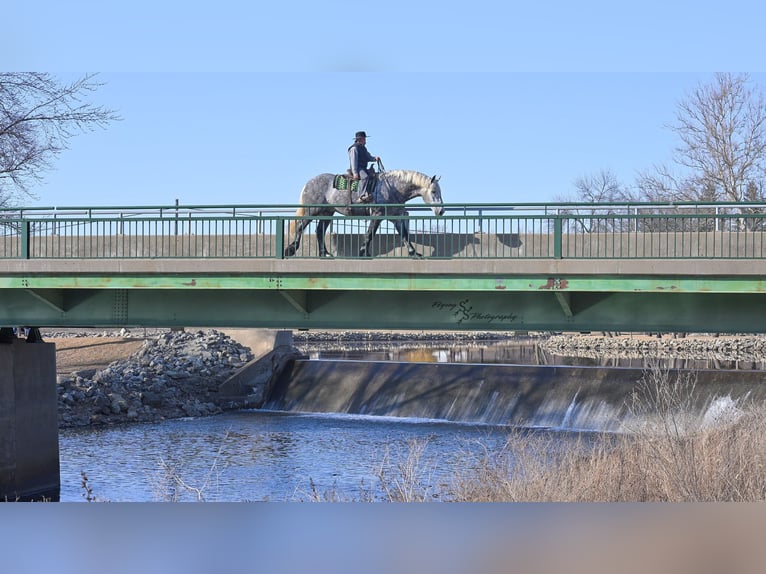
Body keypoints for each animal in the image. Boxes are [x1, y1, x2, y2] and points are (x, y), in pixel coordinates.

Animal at [283, 169, 445, 258]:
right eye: (433, 191)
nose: (441, 211)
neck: (392, 188)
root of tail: (308, 183)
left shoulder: (396, 218)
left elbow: (405, 235)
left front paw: (414, 253)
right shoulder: (378, 215)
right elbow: (369, 234)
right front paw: (363, 252)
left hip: (327, 213)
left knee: (319, 231)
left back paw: (325, 253)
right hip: (312, 211)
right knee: (300, 227)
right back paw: (290, 249)